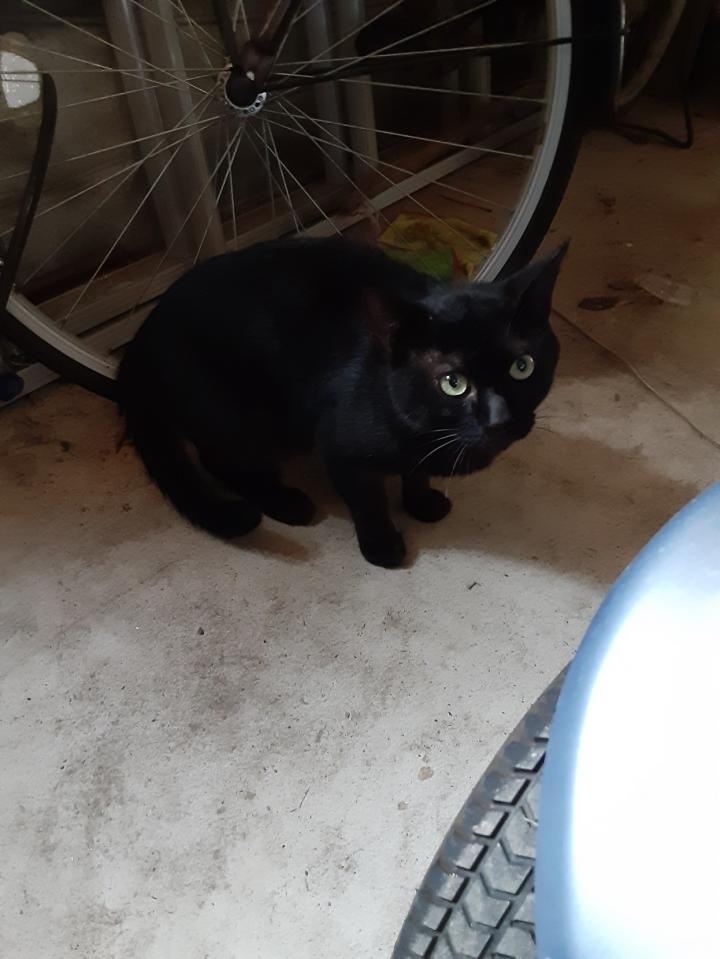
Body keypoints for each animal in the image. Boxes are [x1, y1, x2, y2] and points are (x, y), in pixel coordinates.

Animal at [118, 236, 566, 567]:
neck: (424, 431)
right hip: (238, 419)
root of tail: (137, 348)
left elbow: (416, 473)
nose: (499, 419)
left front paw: (420, 503)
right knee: (220, 461)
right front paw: (382, 546)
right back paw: (287, 503)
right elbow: (367, 501)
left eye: (523, 366)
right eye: (453, 383)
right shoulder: (340, 448)